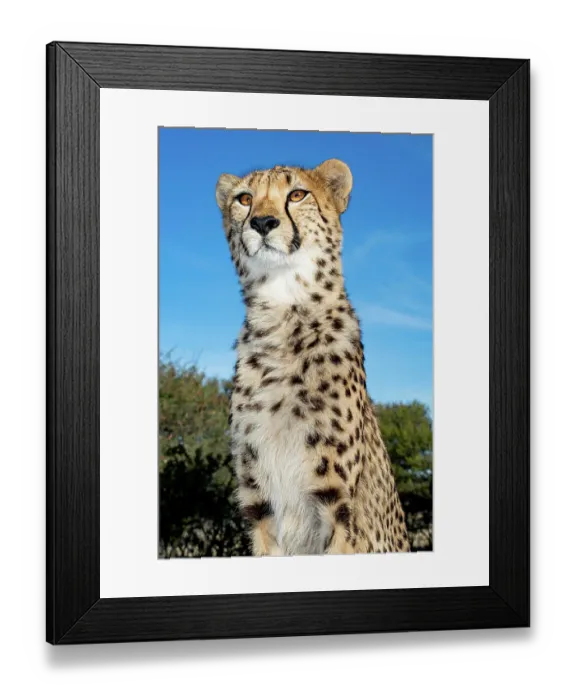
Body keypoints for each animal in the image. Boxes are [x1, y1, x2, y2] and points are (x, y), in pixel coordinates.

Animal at [215, 159, 410, 556]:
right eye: (244, 199)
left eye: (297, 194)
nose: (263, 222)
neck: (281, 315)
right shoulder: (258, 503)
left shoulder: (338, 507)